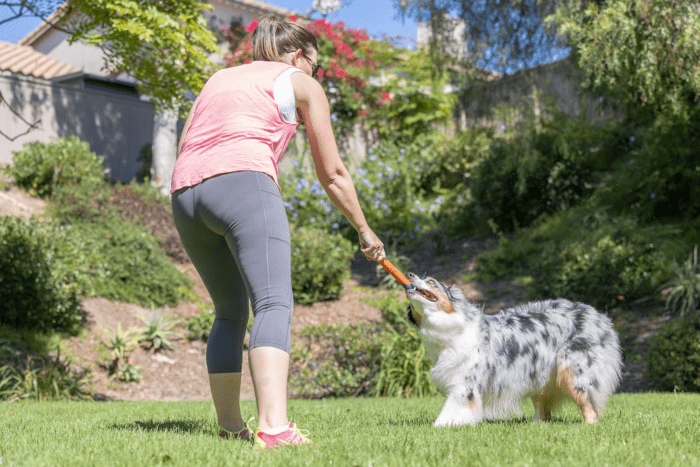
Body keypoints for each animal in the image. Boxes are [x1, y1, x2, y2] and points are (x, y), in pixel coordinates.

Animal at [404, 272, 624, 430]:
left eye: (431, 282)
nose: (409, 274)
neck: (451, 324)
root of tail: (598, 315)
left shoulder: (465, 383)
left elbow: (452, 408)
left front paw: (442, 426)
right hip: (539, 372)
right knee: (544, 408)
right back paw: (535, 425)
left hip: (573, 370)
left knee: (588, 403)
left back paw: (588, 426)